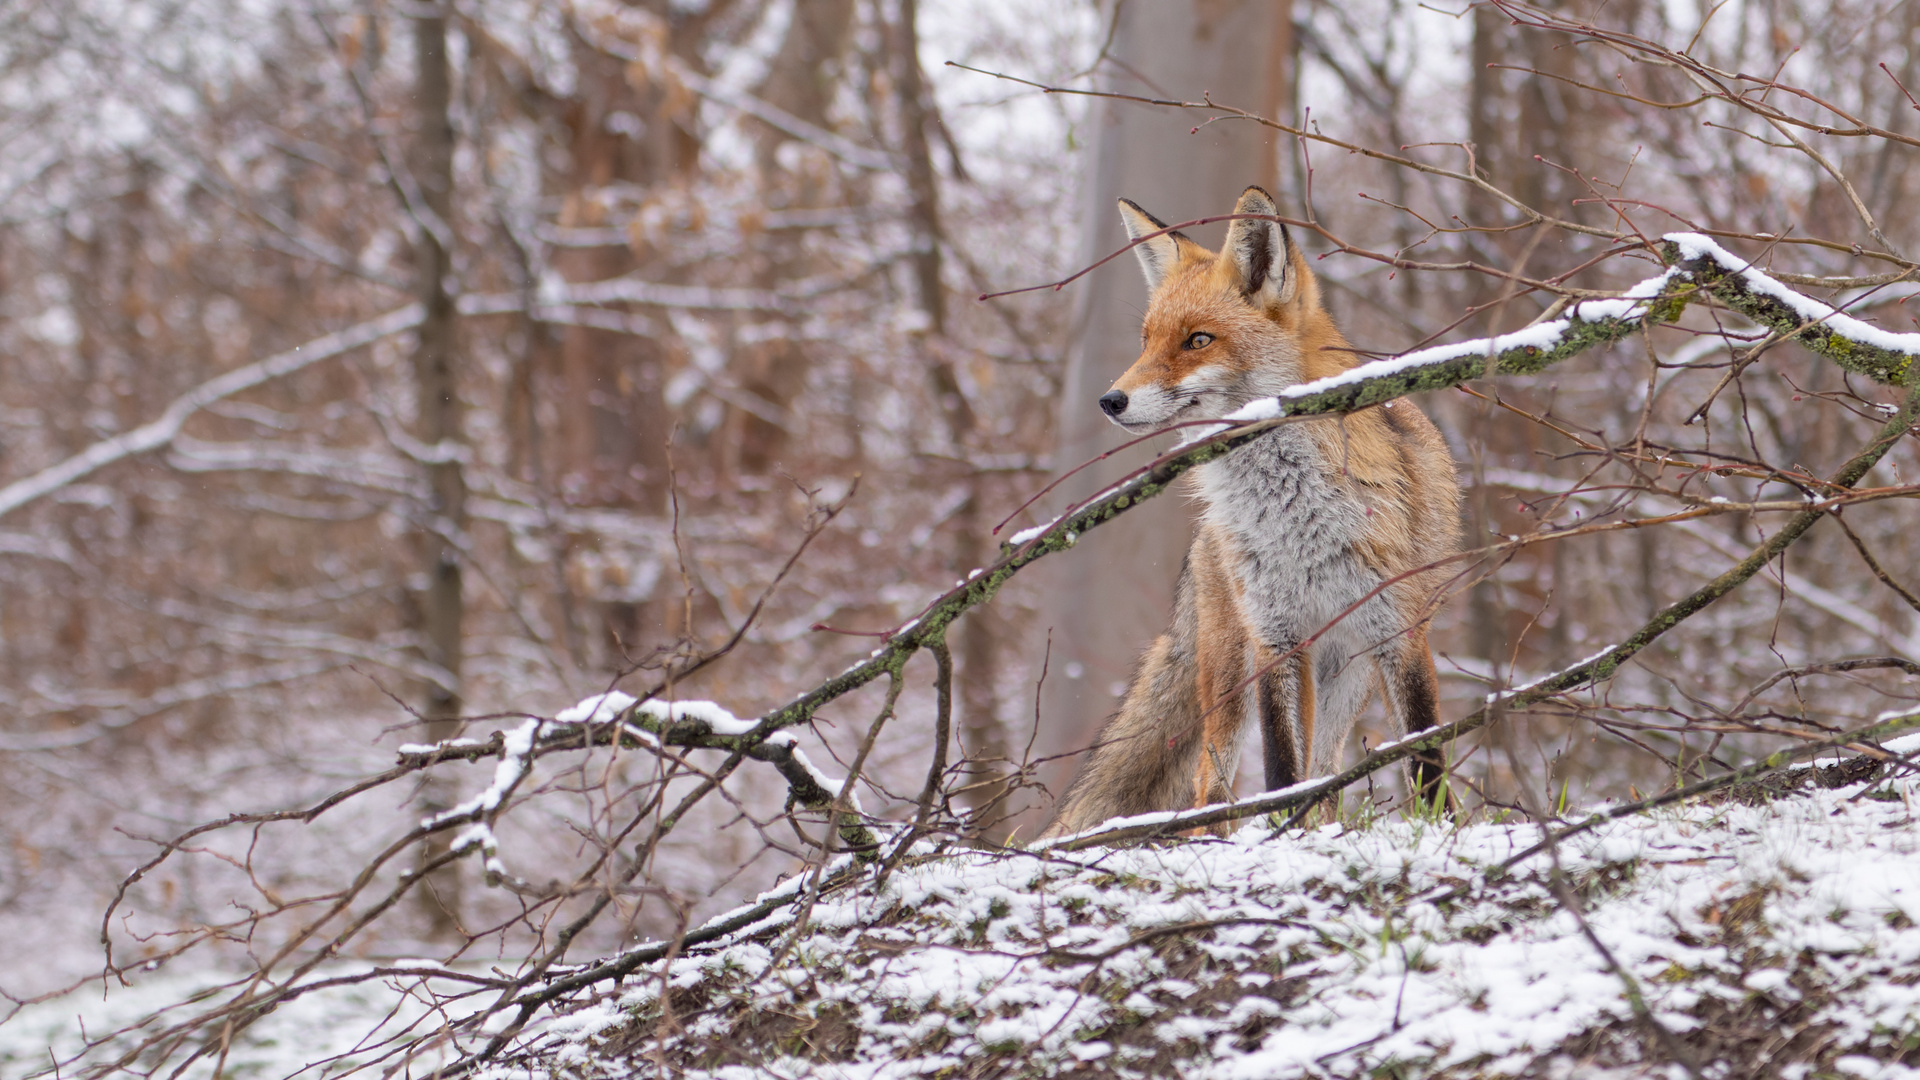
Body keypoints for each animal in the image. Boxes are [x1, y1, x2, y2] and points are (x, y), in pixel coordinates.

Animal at [1044, 184, 1459, 837]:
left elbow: (1424, 758)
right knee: (1209, 788)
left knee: (1327, 773)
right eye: (1147, 341)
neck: (1298, 520)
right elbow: (1282, 770)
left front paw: (1441, 828)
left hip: (1349, 671)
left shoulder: (1399, 630)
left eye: (1198, 340)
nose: (1110, 400)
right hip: (1232, 671)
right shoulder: (1275, 636)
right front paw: (1279, 834)